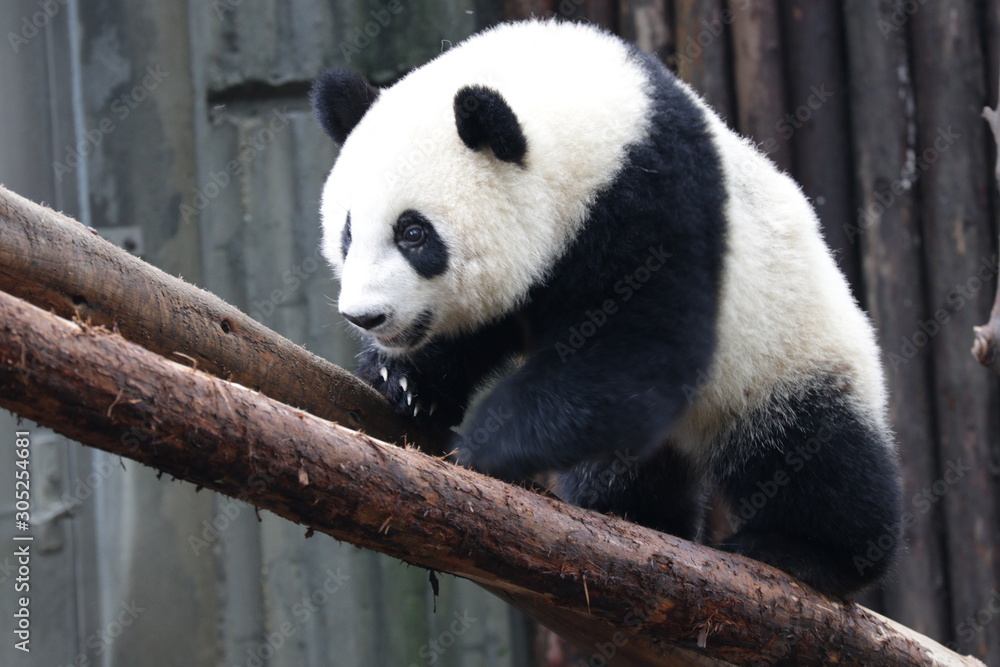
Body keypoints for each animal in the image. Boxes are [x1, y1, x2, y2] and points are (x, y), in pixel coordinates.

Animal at [310, 19, 901, 598]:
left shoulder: (654, 200)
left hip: (788, 349)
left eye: (413, 233)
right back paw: (633, 513)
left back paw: (813, 551)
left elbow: (638, 354)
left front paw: (487, 439)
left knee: (815, 452)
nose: (366, 317)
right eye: (347, 233)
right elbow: (478, 332)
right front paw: (407, 383)